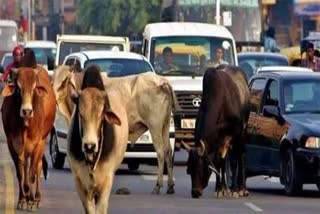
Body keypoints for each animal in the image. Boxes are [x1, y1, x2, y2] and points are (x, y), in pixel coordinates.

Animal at [1, 66, 56, 210]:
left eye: (34, 87)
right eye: (18, 88)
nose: (27, 111)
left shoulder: (38, 143)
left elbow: (31, 174)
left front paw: (31, 201)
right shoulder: (12, 143)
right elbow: (21, 173)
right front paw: (22, 199)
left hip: (43, 141)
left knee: (37, 166)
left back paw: (36, 198)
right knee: (25, 166)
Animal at [53, 65, 176, 194]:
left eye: (64, 80)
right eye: (53, 78)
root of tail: (162, 81)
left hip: (154, 126)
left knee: (160, 152)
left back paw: (157, 186)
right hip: (165, 126)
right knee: (168, 151)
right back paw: (170, 186)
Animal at [182, 65, 250, 199]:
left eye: (200, 167)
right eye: (189, 169)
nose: (195, 192)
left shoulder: (235, 134)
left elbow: (234, 162)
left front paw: (234, 190)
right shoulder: (218, 141)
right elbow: (219, 163)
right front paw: (220, 189)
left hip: (242, 132)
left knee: (241, 157)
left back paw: (242, 189)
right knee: (225, 160)